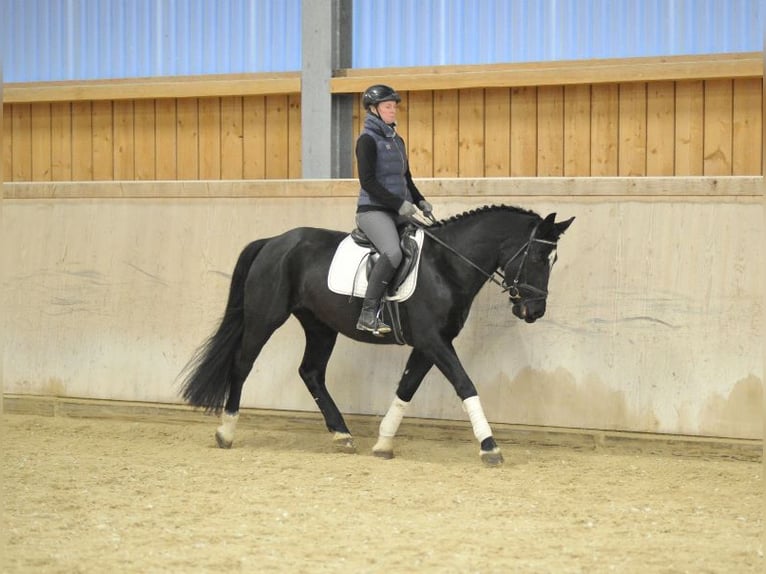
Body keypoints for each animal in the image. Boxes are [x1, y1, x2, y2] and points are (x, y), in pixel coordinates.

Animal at [182, 205, 576, 466]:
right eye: (538, 257)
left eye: (553, 260)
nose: (534, 311)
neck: (447, 265)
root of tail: (274, 242)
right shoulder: (434, 342)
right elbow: (465, 384)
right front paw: (490, 446)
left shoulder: (429, 344)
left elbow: (406, 388)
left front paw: (384, 443)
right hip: (265, 317)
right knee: (242, 364)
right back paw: (226, 431)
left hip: (320, 326)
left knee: (311, 373)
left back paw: (342, 435)